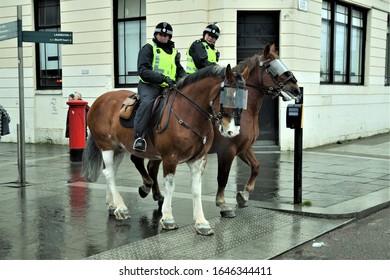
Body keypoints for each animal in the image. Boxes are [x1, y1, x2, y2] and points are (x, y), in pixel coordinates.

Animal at [80, 64, 247, 235]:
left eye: (244, 97)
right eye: (229, 95)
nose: (233, 131)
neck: (188, 113)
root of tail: (99, 100)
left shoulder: (198, 160)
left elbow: (196, 189)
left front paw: (201, 222)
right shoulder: (170, 157)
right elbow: (170, 186)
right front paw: (167, 218)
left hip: (118, 149)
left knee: (110, 171)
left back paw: (112, 204)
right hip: (106, 146)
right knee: (109, 173)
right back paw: (121, 207)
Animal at [134, 43, 302, 217]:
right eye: (271, 67)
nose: (296, 89)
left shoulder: (244, 148)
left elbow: (256, 167)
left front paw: (244, 195)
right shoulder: (227, 150)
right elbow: (223, 177)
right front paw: (223, 204)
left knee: (151, 167)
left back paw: (155, 193)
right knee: (141, 162)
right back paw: (148, 188)